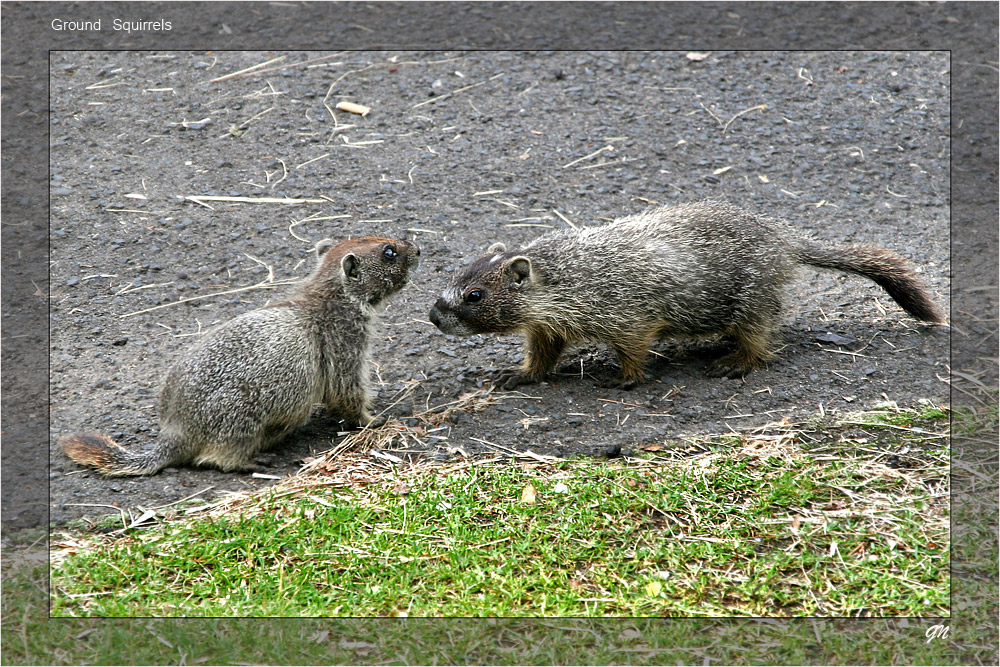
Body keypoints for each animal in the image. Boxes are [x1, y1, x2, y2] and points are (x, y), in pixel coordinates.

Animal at [59, 235, 418, 474]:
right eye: (388, 252)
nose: (418, 249)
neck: (331, 293)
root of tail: (175, 433)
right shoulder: (345, 337)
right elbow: (346, 387)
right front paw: (375, 418)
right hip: (240, 416)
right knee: (217, 457)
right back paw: (253, 460)